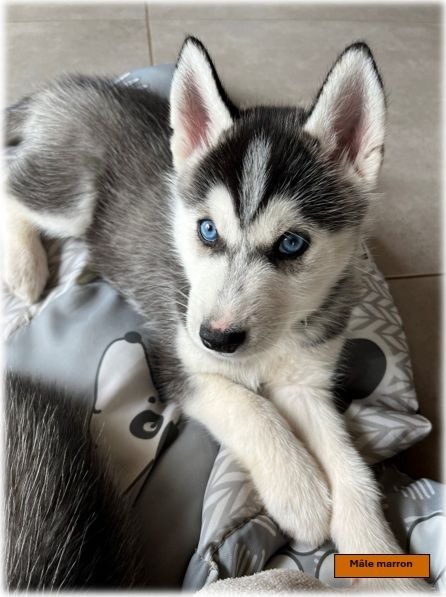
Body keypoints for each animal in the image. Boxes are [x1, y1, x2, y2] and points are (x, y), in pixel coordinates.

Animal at [3, 37, 429, 591]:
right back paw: (24, 267)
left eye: (292, 244)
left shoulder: (306, 383)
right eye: (207, 230)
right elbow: (250, 406)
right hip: (71, 197)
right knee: (13, 188)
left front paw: (386, 564)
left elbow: (351, 468)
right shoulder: (171, 351)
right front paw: (301, 493)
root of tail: (72, 87)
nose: (217, 338)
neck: (275, 337)